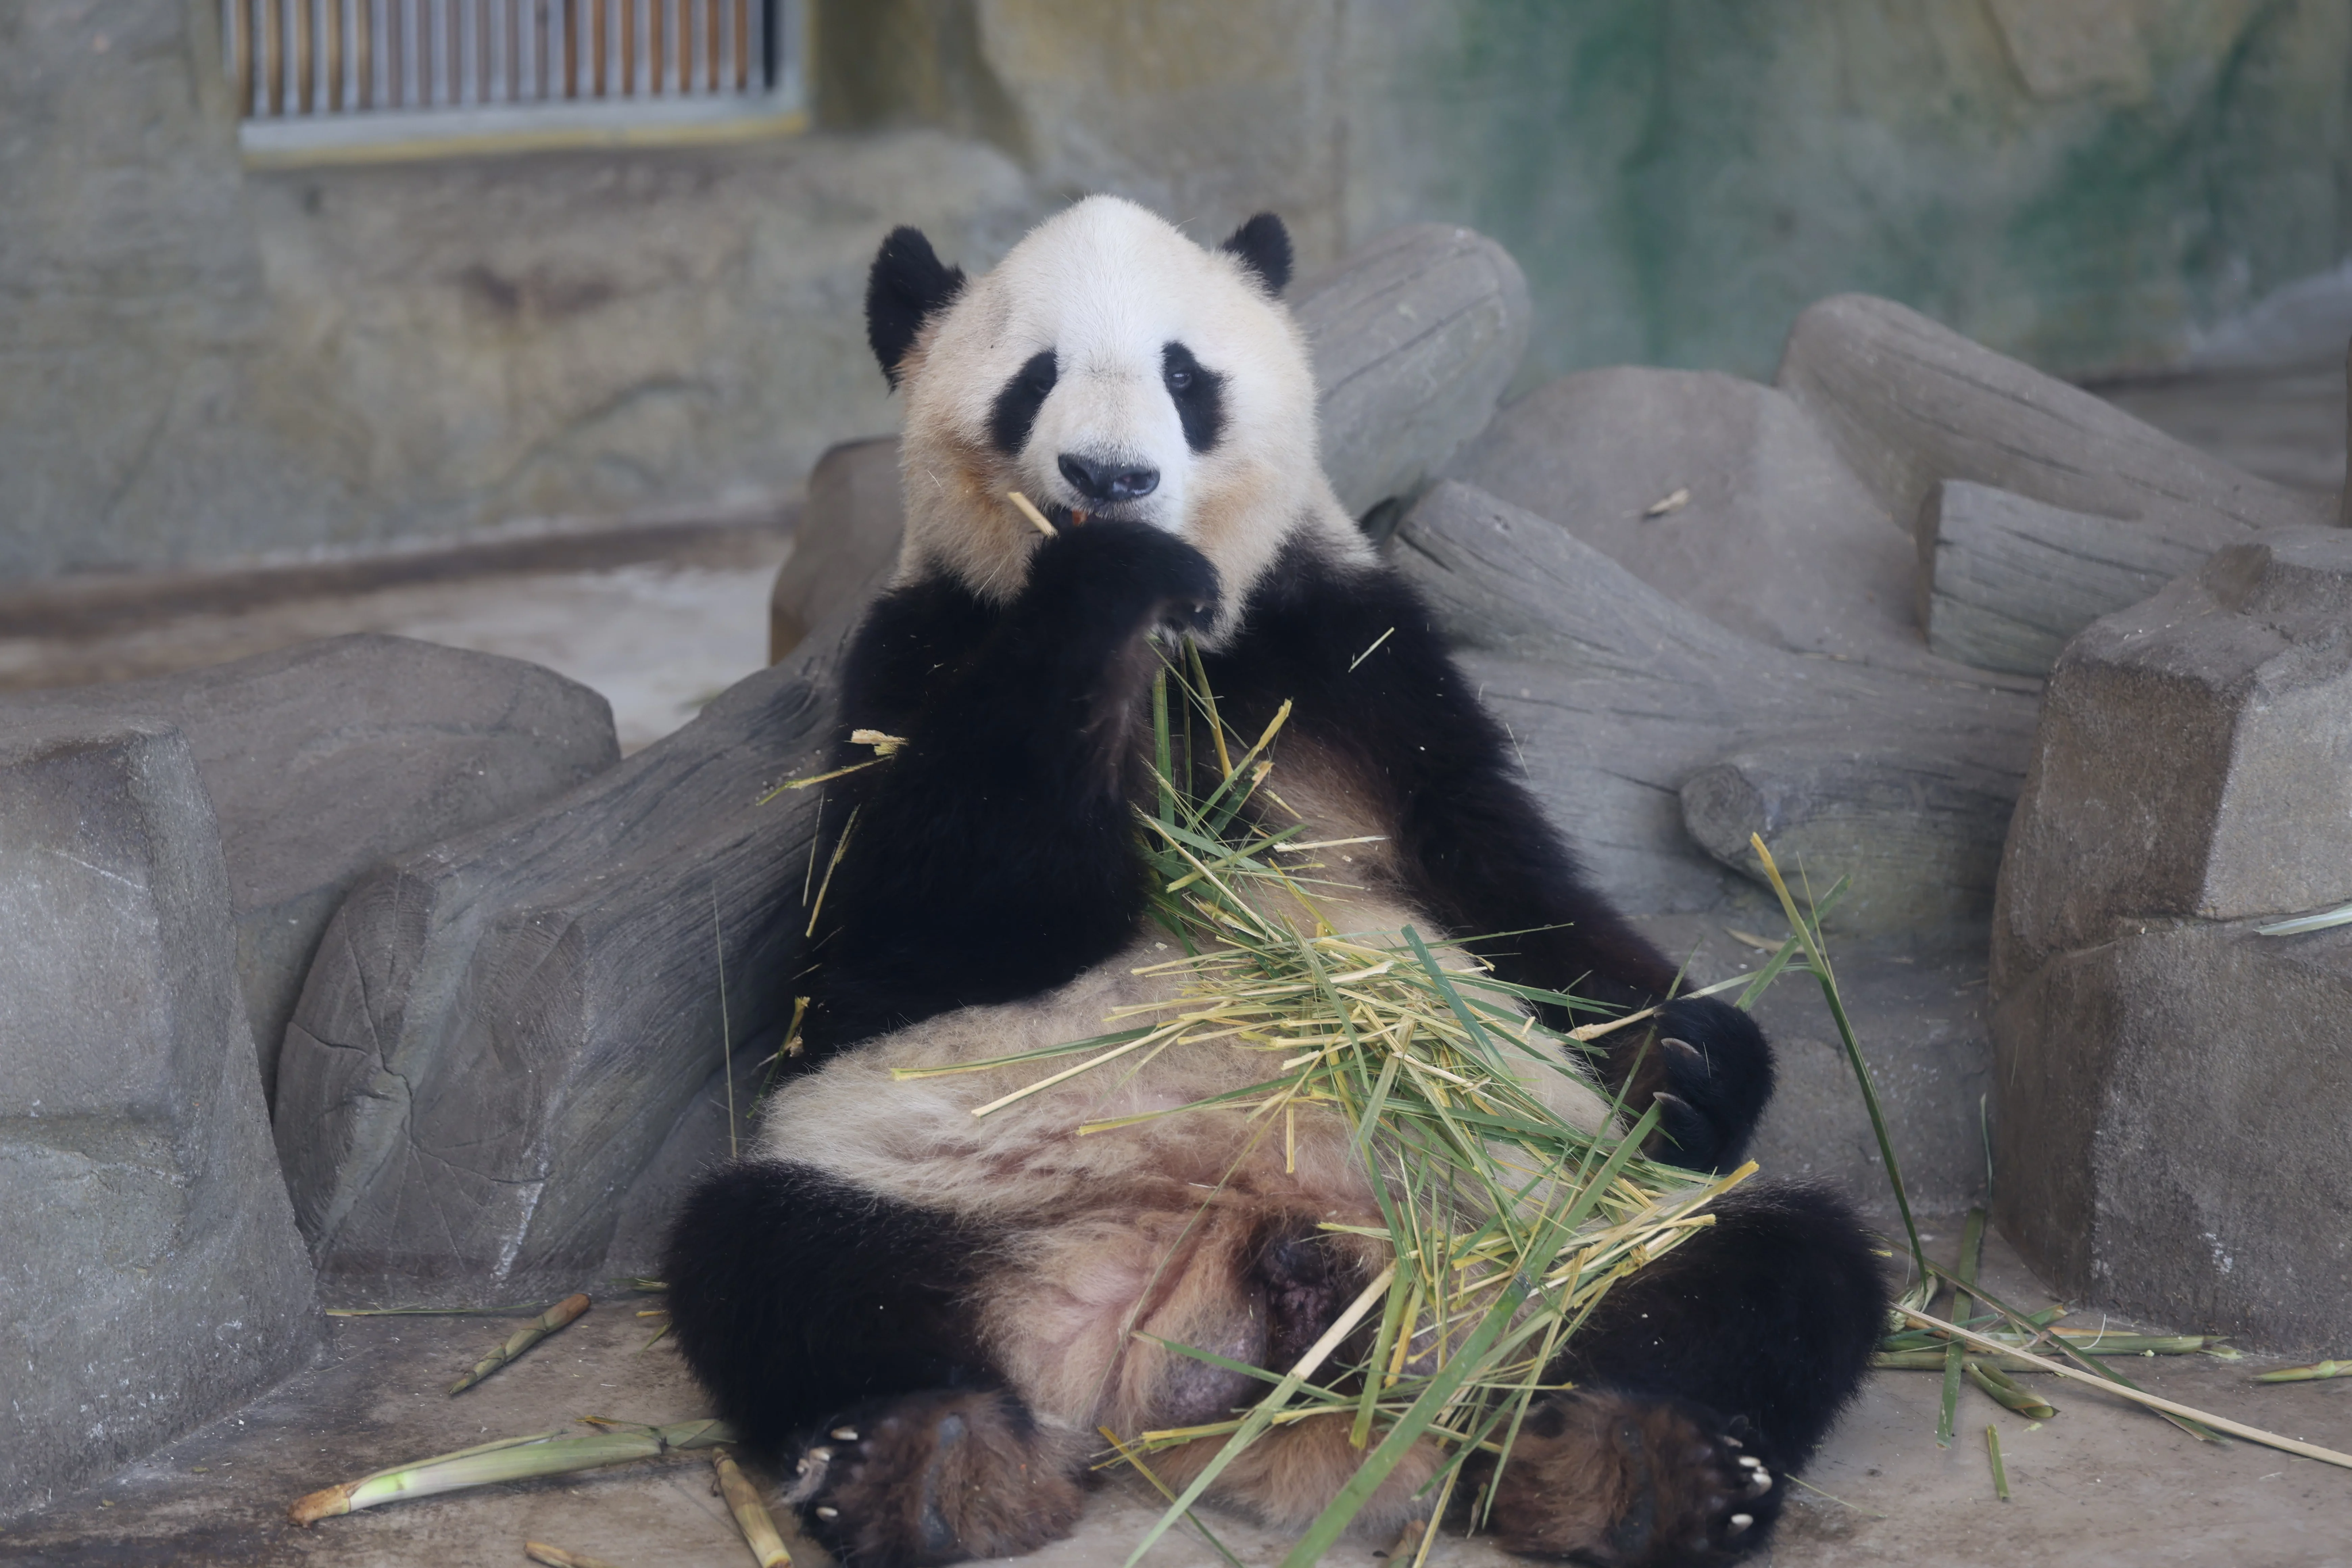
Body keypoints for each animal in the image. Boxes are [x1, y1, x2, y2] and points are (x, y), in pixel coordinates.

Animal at [664, 197, 1888, 1568]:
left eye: (1185, 377)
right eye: (1033, 378)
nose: (1110, 480)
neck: (1189, 649)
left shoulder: (1356, 658)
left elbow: (1512, 885)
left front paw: (1682, 1053)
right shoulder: (914, 657)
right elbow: (912, 937)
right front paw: (1107, 585)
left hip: (1557, 1221)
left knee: (1761, 1258)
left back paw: (1637, 1463)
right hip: (934, 1196)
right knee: (773, 1256)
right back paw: (923, 1459)